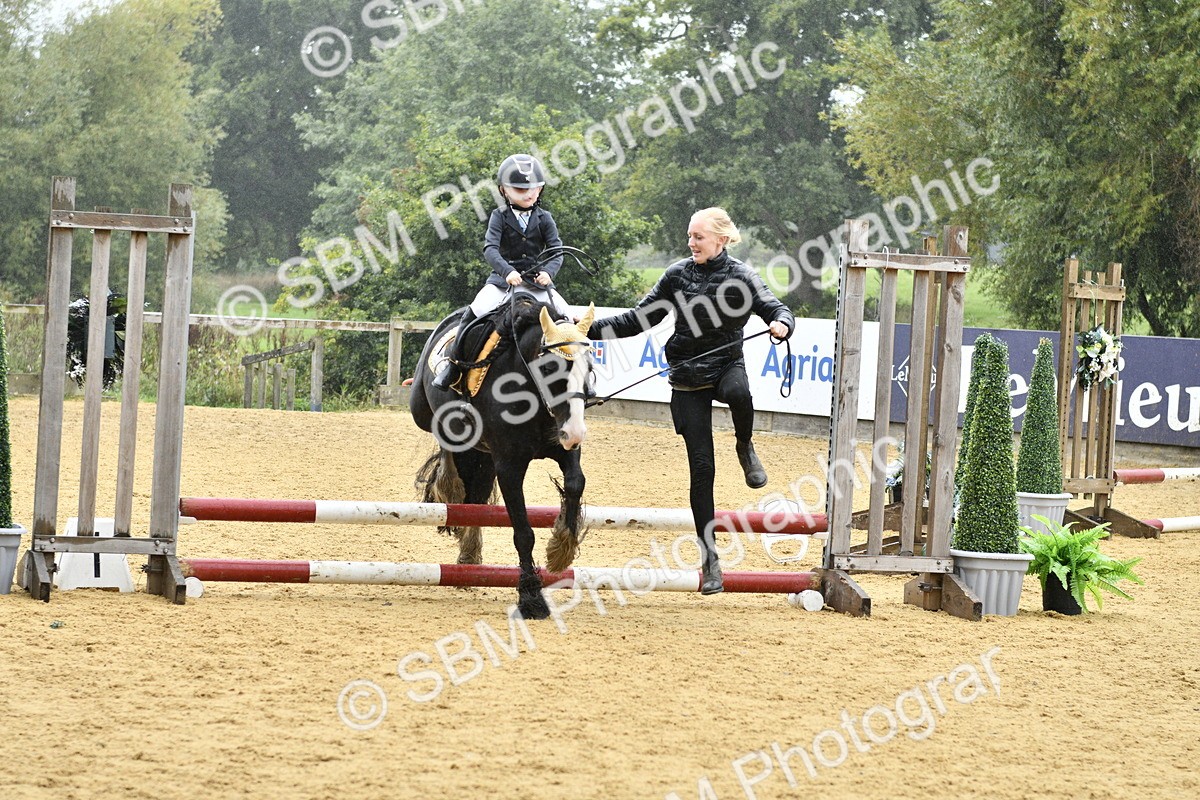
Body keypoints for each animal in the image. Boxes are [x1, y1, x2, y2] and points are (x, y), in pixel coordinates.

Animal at [409, 293, 596, 619]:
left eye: (590, 367)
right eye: (550, 368)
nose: (576, 432)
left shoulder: (562, 448)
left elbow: (575, 483)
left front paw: (561, 549)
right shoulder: (509, 466)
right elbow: (523, 532)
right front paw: (531, 599)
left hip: (484, 457)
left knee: (476, 493)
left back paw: (469, 554)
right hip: (422, 409)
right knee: (444, 439)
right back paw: (449, 485)